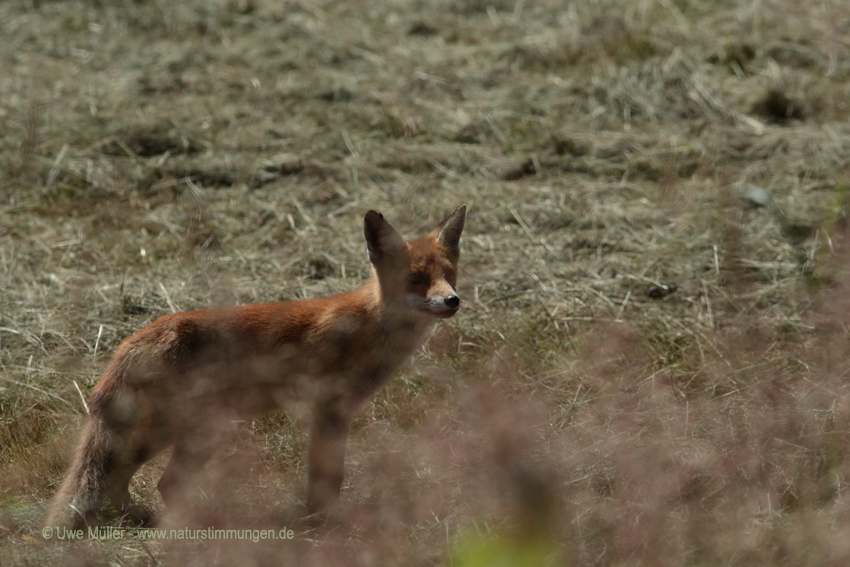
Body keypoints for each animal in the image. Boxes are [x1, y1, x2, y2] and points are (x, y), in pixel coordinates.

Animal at [44, 206, 468, 532]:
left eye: (449, 275)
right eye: (415, 279)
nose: (452, 301)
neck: (370, 328)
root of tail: (131, 340)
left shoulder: (334, 410)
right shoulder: (329, 408)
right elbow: (329, 476)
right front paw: (325, 521)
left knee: (150, 481)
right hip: (189, 429)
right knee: (131, 476)